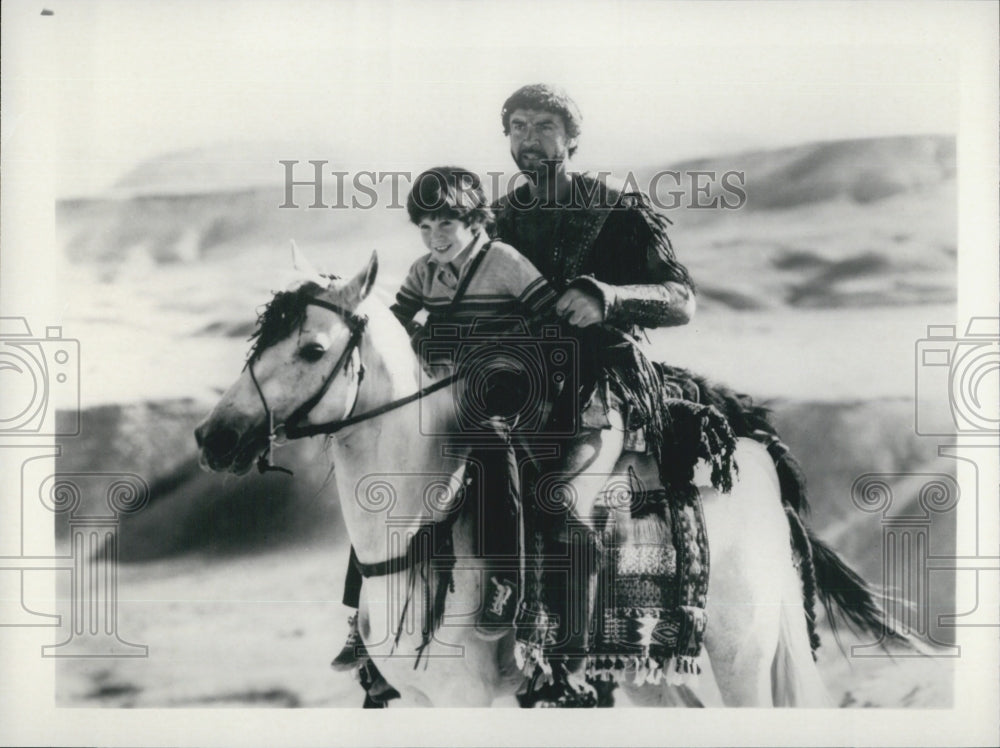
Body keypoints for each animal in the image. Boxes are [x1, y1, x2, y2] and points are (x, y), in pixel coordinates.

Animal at [193, 251, 908, 708]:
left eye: (313, 348)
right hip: (656, 673)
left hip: (744, 658)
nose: (214, 437)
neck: (425, 521)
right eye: (257, 342)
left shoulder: (467, 699)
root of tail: (758, 455)